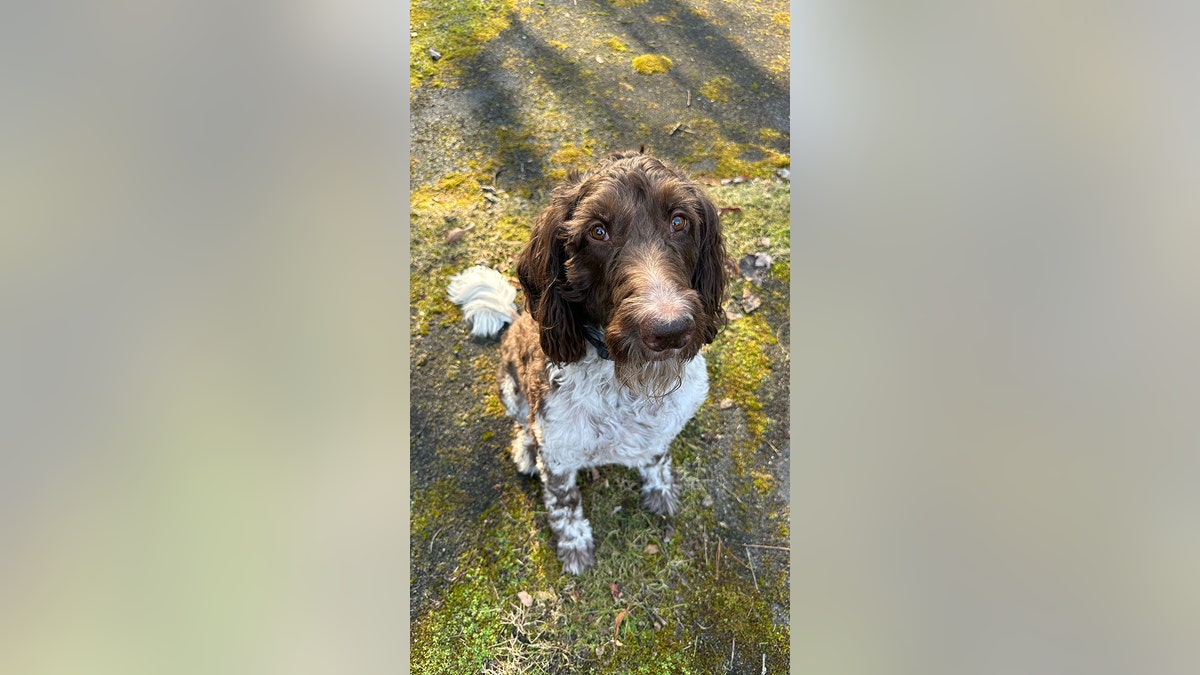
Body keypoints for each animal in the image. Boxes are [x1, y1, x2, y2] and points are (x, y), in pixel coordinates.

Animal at [448, 148, 724, 571]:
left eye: (679, 222)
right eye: (597, 231)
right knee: (523, 425)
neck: (625, 386)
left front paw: (660, 491)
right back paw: (525, 450)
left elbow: (657, 458)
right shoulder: (558, 453)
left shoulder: (662, 429)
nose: (670, 330)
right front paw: (575, 545)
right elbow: (565, 504)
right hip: (511, 389)